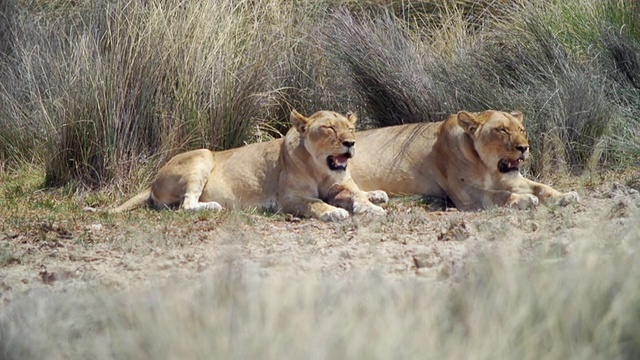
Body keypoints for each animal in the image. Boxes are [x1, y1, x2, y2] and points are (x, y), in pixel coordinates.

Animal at [108, 109, 388, 222]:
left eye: (350, 128)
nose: (351, 143)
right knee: (186, 205)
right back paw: (213, 206)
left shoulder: (341, 186)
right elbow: (315, 203)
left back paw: (378, 194)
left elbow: (357, 195)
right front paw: (334, 212)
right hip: (203, 156)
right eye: (329, 128)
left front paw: (371, 207)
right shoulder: (288, 199)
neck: (320, 169)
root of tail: (153, 180)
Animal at [350, 110, 580, 211]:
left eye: (521, 130)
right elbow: (499, 195)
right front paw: (523, 199)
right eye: (502, 130)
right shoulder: (464, 194)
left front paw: (565, 196)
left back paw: (377, 196)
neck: (489, 167)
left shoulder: (513, 179)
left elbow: (542, 187)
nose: (524, 148)